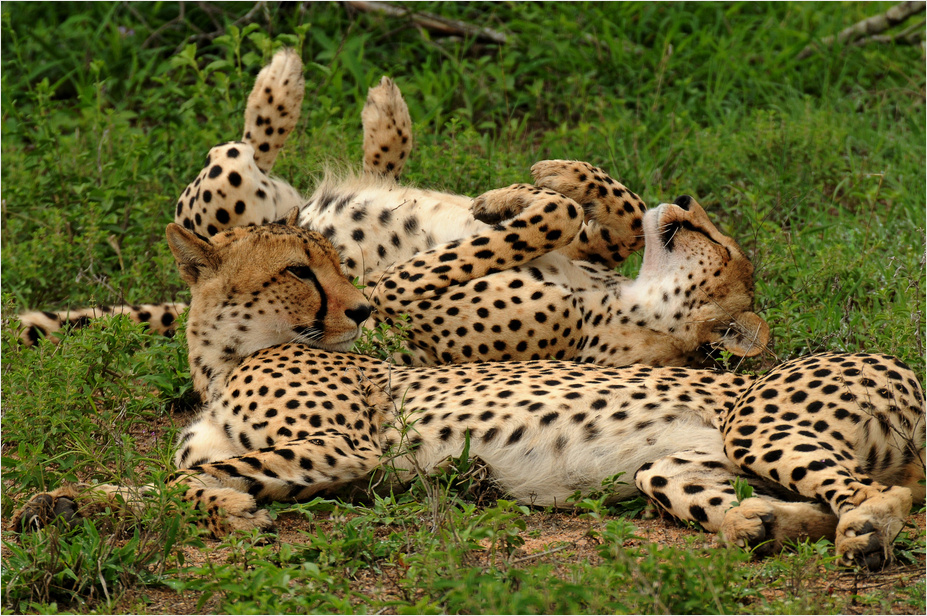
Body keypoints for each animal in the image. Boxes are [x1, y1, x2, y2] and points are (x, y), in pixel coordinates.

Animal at [12, 209, 920, 572]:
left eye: (334, 263)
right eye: (300, 270)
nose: (360, 308)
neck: (224, 358)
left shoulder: (346, 448)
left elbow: (194, 479)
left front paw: (231, 511)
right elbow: (153, 481)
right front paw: (60, 503)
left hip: (758, 426)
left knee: (879, 493)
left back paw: (862, 535)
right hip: (669, 466)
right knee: (783, 501)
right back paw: (762, 524)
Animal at [23, 50, 776, 368]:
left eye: (721, 244)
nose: (686, 201)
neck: (627, 309)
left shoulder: (385, 304)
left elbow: (547, 222)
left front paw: (525, 199)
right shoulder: (596, 248)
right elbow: (606, 212)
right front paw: (534, 184)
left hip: (232, 206)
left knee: (238, 153)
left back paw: (283, 83)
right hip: (272, 200)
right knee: (280, 165)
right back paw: (373, 113)